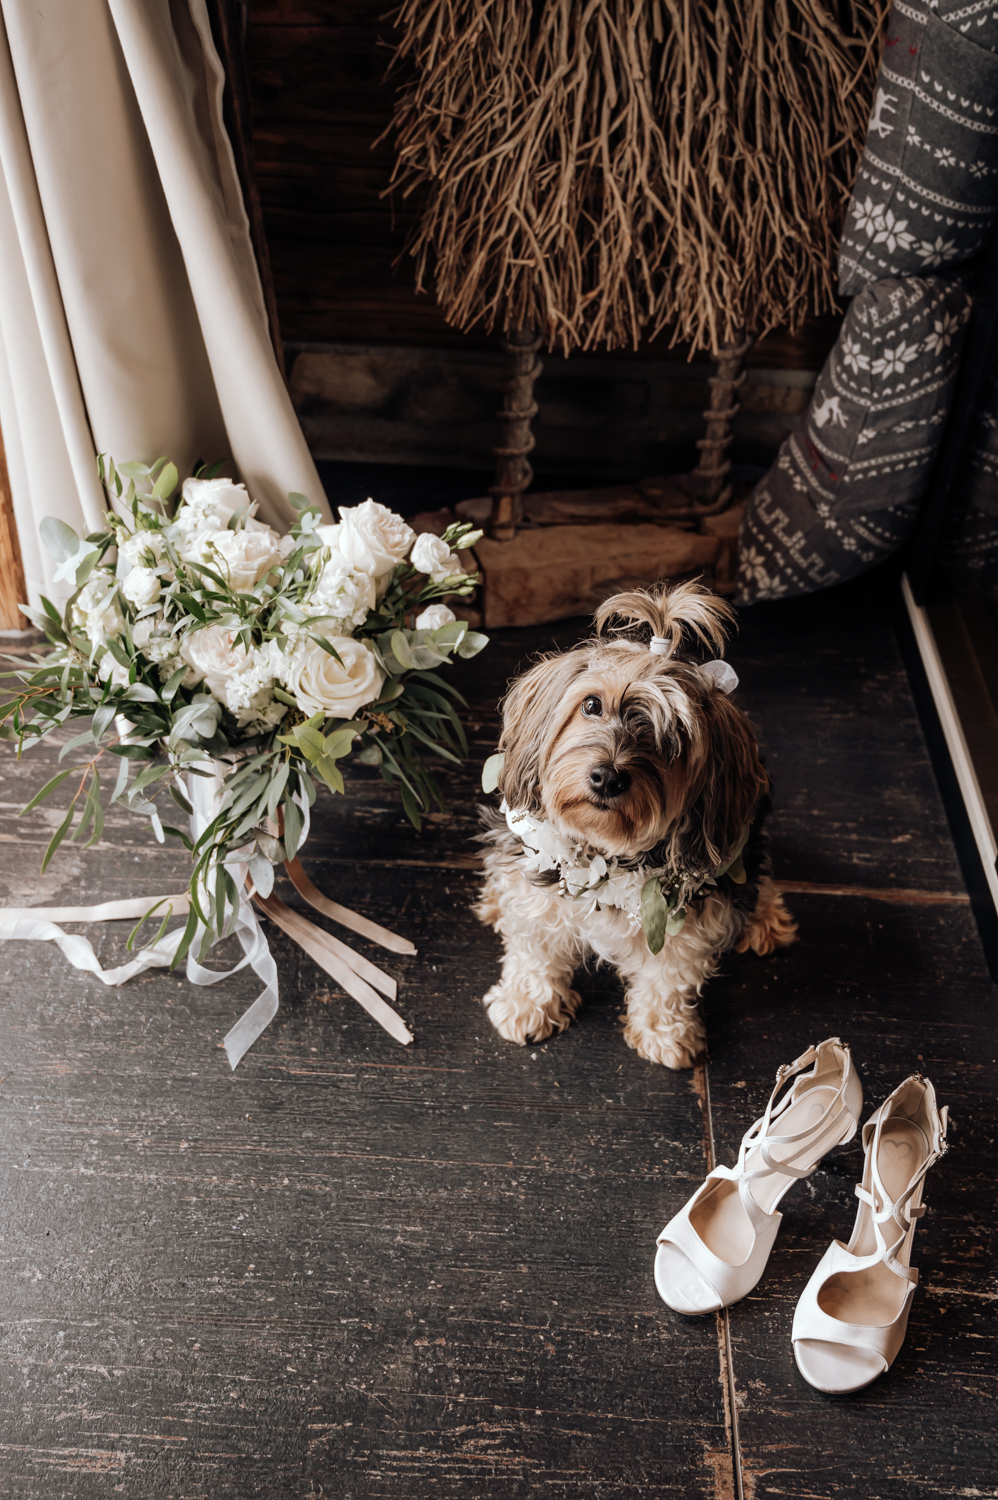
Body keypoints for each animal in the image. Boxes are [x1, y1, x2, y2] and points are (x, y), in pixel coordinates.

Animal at [474, 579, 792, 1074]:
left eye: (674, 739)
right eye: (592, 705)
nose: (608, 777)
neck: (605, 853)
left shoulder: (686, 923)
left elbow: (668, 977)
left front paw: (665, 1032)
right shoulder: (538, 893)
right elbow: (534, 951)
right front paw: (527, 1005)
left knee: (758, 876)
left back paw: (767, 921)